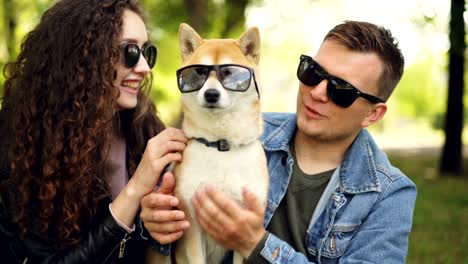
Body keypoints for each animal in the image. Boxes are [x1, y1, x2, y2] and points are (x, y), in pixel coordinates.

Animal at [144, 23, 268, 262]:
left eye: (229, 73)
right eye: (198, 73)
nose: (211, 94)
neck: (222, 146)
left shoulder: (243, 226)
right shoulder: (191, 223)